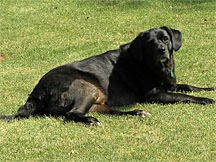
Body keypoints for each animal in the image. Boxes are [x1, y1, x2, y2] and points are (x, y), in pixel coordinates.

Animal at [0, 26, 215, 125]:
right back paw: (90, 121)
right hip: (85, 87)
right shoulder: (155, 94)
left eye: (165, 39)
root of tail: (34, 95)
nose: (162, 50)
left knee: (111, 111)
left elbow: (187, 86)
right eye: (150, 44)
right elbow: (183, 96)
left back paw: (137, 112)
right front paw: (205, 100)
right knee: (72, 114)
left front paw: (208, 88)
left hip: (98, 100)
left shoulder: (170, 84)